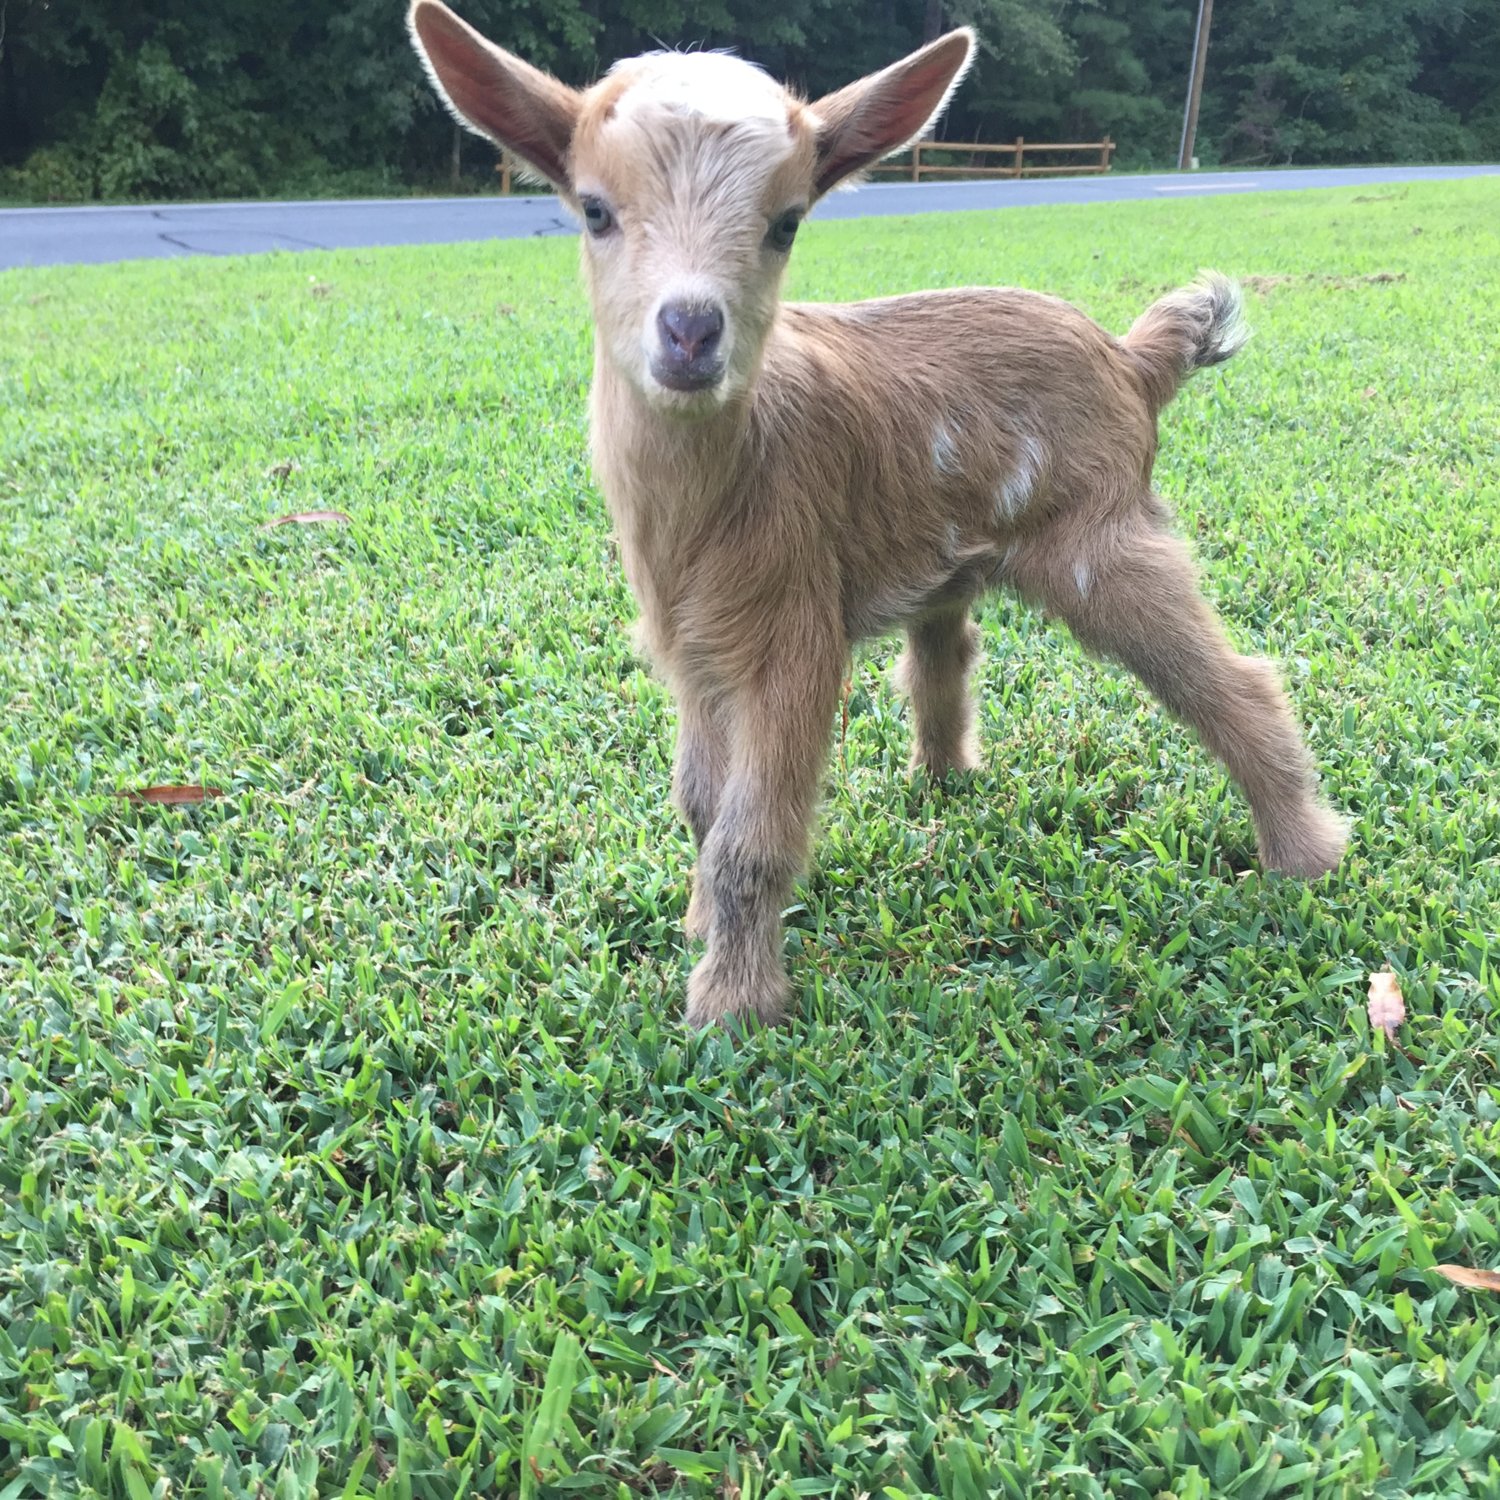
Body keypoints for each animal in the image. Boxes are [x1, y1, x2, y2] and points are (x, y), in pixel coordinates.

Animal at [411, 0, 1350, 1026]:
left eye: (785, 223)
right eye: (594, 210)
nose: (692, 332)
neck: (725, 482)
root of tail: (1134, 357)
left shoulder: (793, 630)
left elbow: (750, 834)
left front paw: (733, 1008)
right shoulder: (692, 644)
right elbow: (699, 799)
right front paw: (698, 928)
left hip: (1101, 537)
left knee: (1229, 678)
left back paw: (1305, 855)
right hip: (954, 552)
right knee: (948, 648)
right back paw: (944, 781)